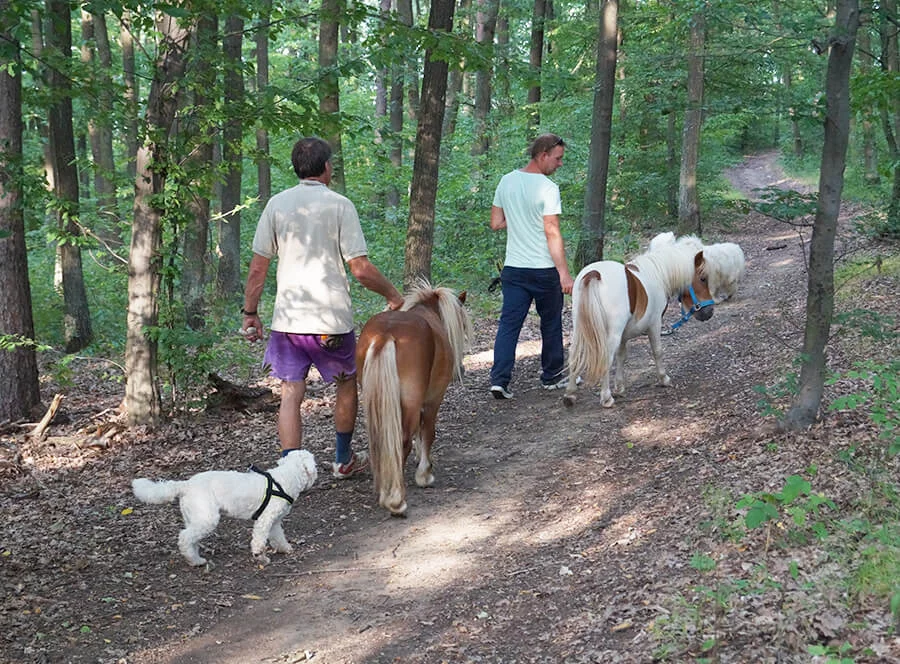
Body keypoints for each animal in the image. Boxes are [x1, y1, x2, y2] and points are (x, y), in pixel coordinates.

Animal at [132, 452, 318, 564]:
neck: (285, 477)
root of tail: (185, 485)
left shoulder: (274, 523)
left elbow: (278, 537)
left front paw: (285, 549)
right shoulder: (265, 520)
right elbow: (259, 541)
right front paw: (260, 557)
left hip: (194, 518)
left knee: (191, 539)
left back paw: (196, 558)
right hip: (207, 518)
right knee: (184, 538)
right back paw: (194, 560)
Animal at [356, 282, 474, 516]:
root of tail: (385, 334)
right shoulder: (432, 400)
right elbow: (428, 432)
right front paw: (425, 473)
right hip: (410, 401)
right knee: (401, 441)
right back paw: (395, 499)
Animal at [564, 236, 716, 408]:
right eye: (703, 279)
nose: (709, 312)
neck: (658, 274)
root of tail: (594, 274)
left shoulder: (623, 336)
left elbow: (621, 356)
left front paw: (620, 387)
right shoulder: (654, 324)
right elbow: (657, 351)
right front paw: (664, 379)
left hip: (580, 329)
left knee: (574, 354)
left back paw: (570, 394)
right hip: (611, 334)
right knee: (605, 358)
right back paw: (606, 398)